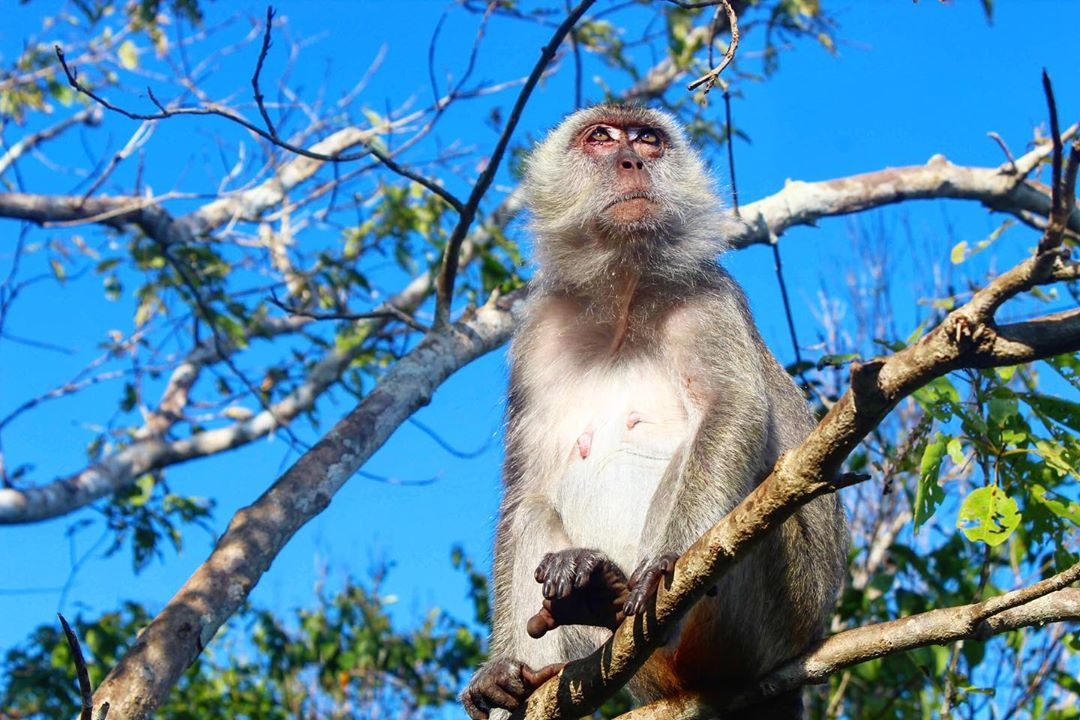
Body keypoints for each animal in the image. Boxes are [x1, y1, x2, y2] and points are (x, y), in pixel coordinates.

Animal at [460, 102, 846, 720]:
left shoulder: (710, 297)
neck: (624, 293)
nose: (632, 161)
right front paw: (500, 666)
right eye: (601, 137)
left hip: (779, 613)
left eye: (648, 140)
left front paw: (665, 559)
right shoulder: (534, 338)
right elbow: (526, 490)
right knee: (536, 509)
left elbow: (732, 409)